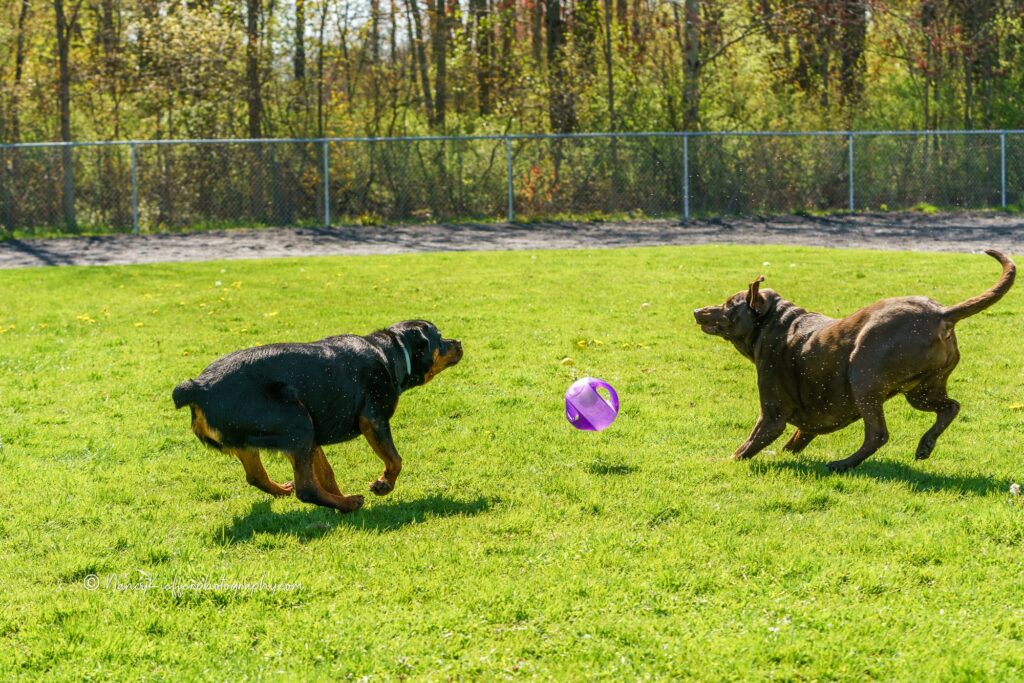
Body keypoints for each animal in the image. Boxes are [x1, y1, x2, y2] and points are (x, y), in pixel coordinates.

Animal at [173, 323, 464, 509]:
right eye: (440, 337)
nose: (459, 342)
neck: (390, 353)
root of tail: (199, 388)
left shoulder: (318, 438)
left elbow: (327, 474)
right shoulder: (374, 420)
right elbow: (395, 460)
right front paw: (383, 485)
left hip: (287, 432)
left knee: (258, 477)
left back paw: (313, 497)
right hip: (297, 422)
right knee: (306, 489)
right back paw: (350, 503)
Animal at [696, 249, 1015, 471]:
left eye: (728, 305)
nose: (697, 311)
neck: (778, 323)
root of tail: (941, 314)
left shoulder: (772, 414)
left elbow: (747, 446)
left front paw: (722, 461)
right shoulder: (806, 420)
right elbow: (795, 440)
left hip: (864, 379)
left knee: (878, 435)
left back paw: (843, 464)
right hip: (922, 391)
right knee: (951, 407)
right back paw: (924, 446)